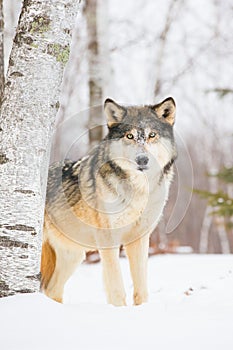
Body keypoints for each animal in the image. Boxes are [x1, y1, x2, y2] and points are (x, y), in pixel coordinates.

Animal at [41, 97, 177, 304]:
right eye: (129, 136)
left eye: (152, 135)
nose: (142, 160)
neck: (138, 191)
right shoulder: (107, 240)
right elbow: (116, 288)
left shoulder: (140, 239)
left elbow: (141, 289)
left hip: (73, 256)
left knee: (52, 290)